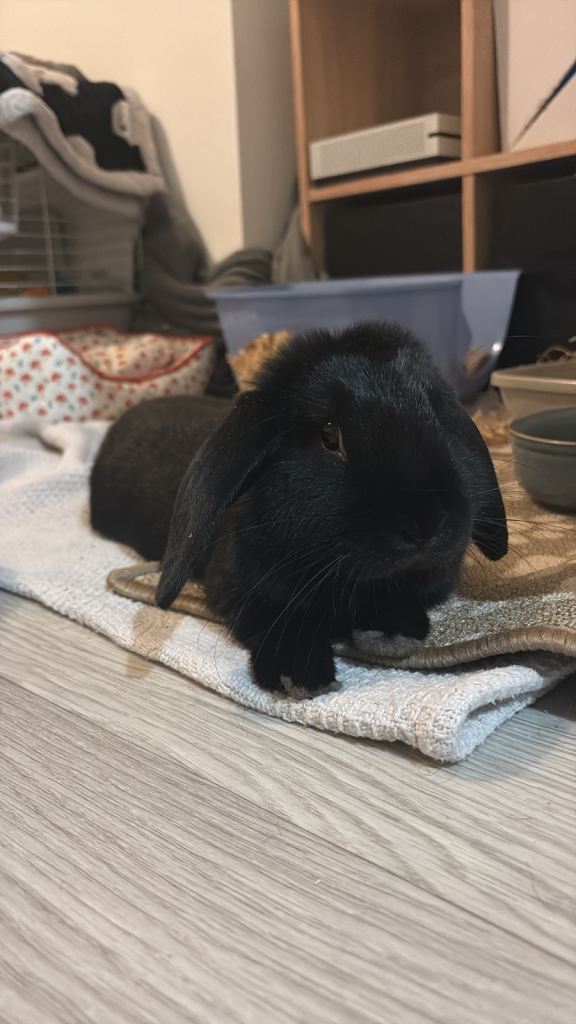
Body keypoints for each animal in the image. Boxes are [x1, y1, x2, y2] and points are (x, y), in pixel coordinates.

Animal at [91, 322, 508, 696]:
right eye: (329, 436)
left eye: (438, 419)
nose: (425, 525)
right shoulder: (239, 588)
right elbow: (279, 616)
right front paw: (300, 674)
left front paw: (393, 632)